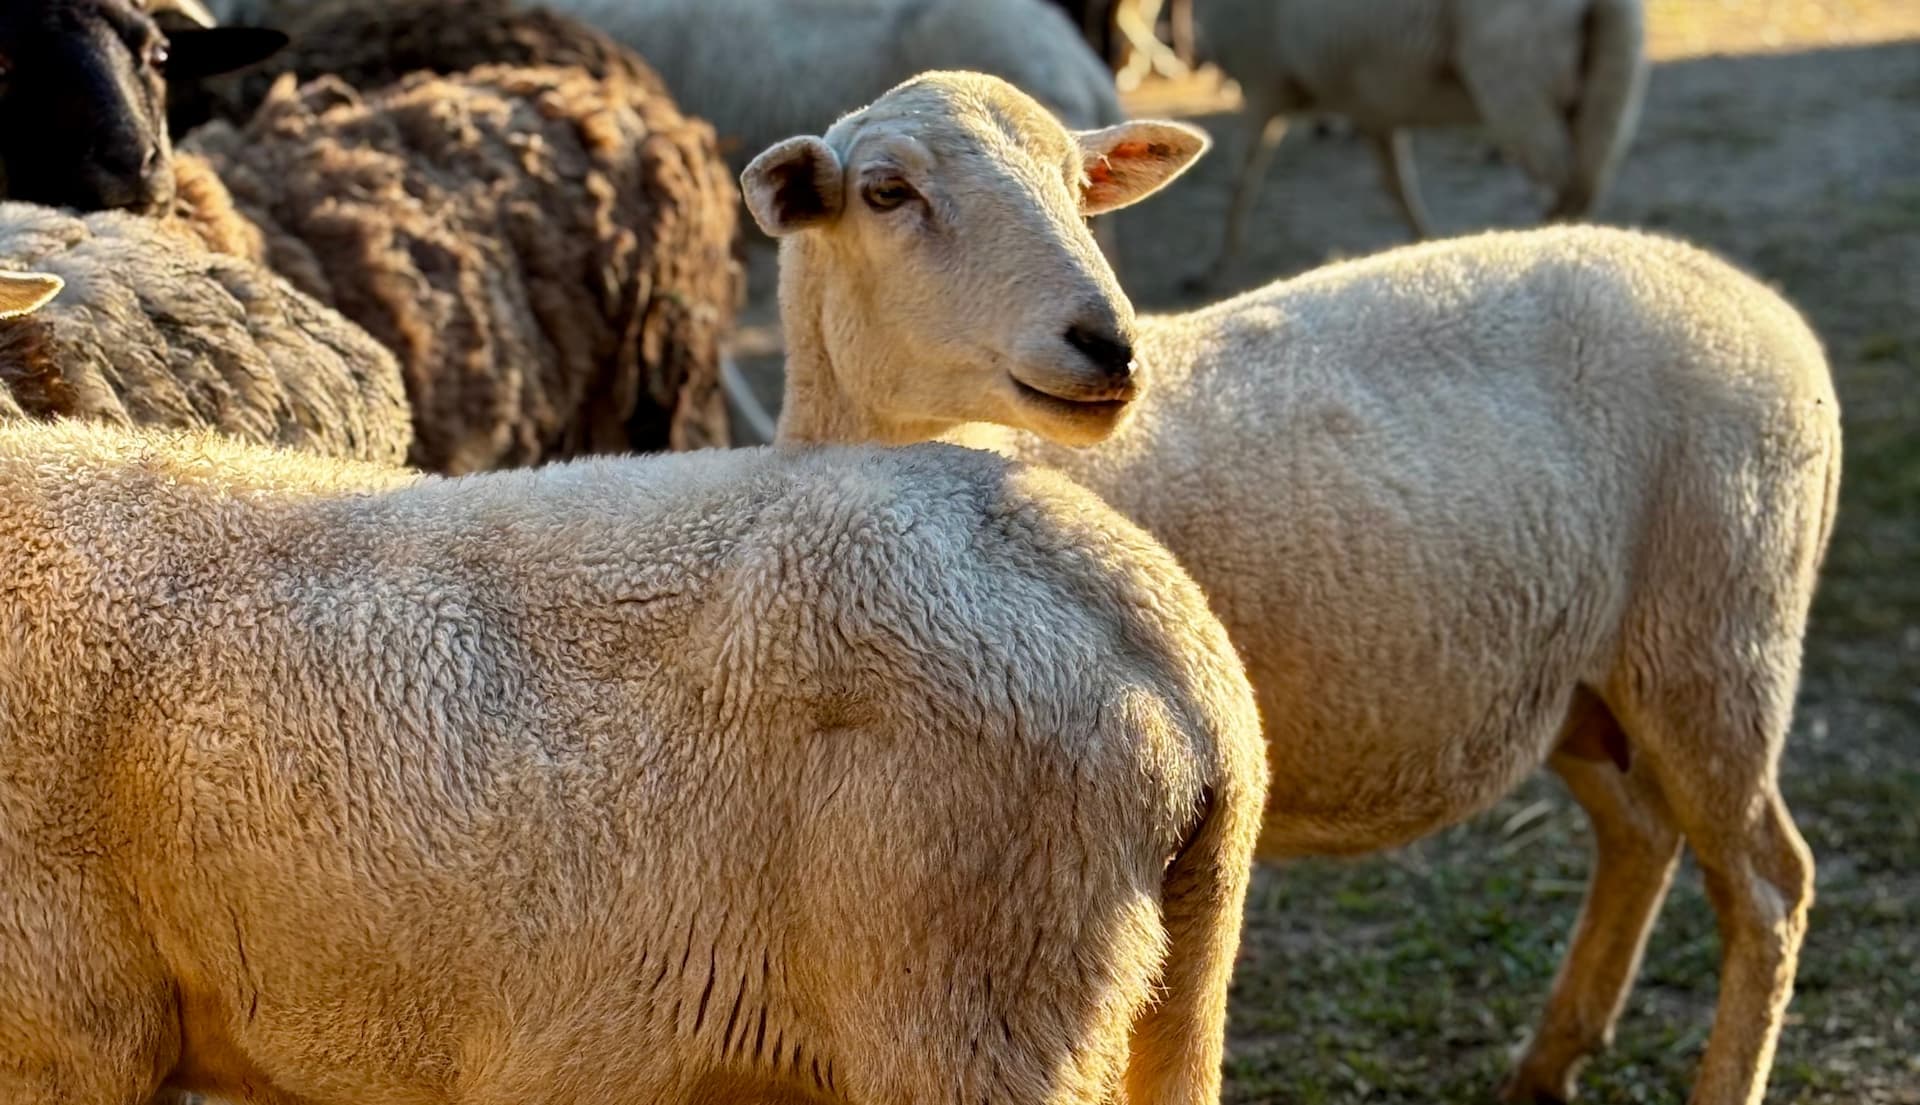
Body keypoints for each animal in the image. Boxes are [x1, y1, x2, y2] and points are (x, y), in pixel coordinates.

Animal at [742, 71, 1843, 1105]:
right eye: (887, 192)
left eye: (1079, 186)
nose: (1110, 344)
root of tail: (1757, 301)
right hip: (1584, 678)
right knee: (1642, 833)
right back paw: (1549, 1057)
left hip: (1717, 632)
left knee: (1767, 884)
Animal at [1196, 0, 1648, 282]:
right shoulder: (1371, 108)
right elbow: (1397, 186)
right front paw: (1422, 245)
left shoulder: (1261, 87)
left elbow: (1242, 180)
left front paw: (1219, 266)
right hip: (1607, 88)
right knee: (1582, 188)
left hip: (1516, 81)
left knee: (1566, 188)